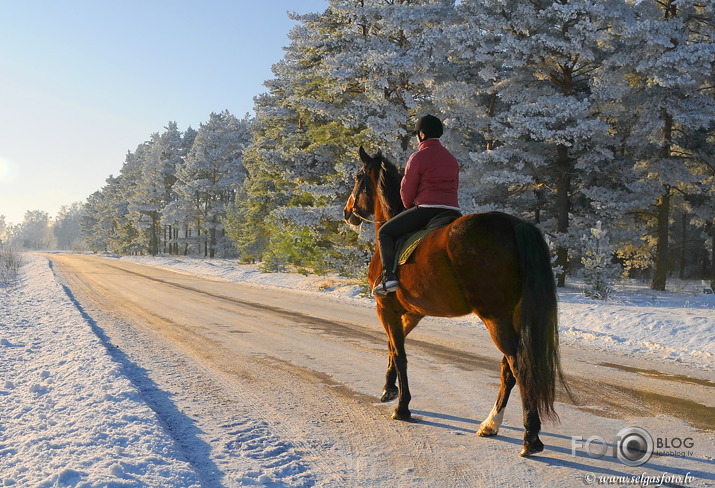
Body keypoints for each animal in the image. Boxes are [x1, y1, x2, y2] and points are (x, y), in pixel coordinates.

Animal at [344, 146, 568, 458]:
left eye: (358, 177)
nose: (347, 212)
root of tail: (515, 224)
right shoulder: (411, 313)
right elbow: (392, 347)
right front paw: (389, 389)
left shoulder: (385, 308)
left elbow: (400, 354)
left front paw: (402, 407)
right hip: (512, 316)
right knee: (508, 370)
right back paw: (491, 424)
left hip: (496, 319)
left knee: (518, 367)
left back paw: (530, 437)